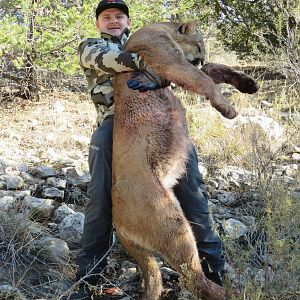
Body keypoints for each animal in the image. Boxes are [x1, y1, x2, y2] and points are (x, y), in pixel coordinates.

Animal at [111, 21, 258, 300]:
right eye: (199, 44)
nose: (201, 58)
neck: (161, 29)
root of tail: (117, 223)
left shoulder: (175, 71)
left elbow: (213, 70)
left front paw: (248, 83)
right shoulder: (172, 63)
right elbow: (204, 79)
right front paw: (228, 109)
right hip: (173, 223)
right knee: (192, 276)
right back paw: (232, 292)